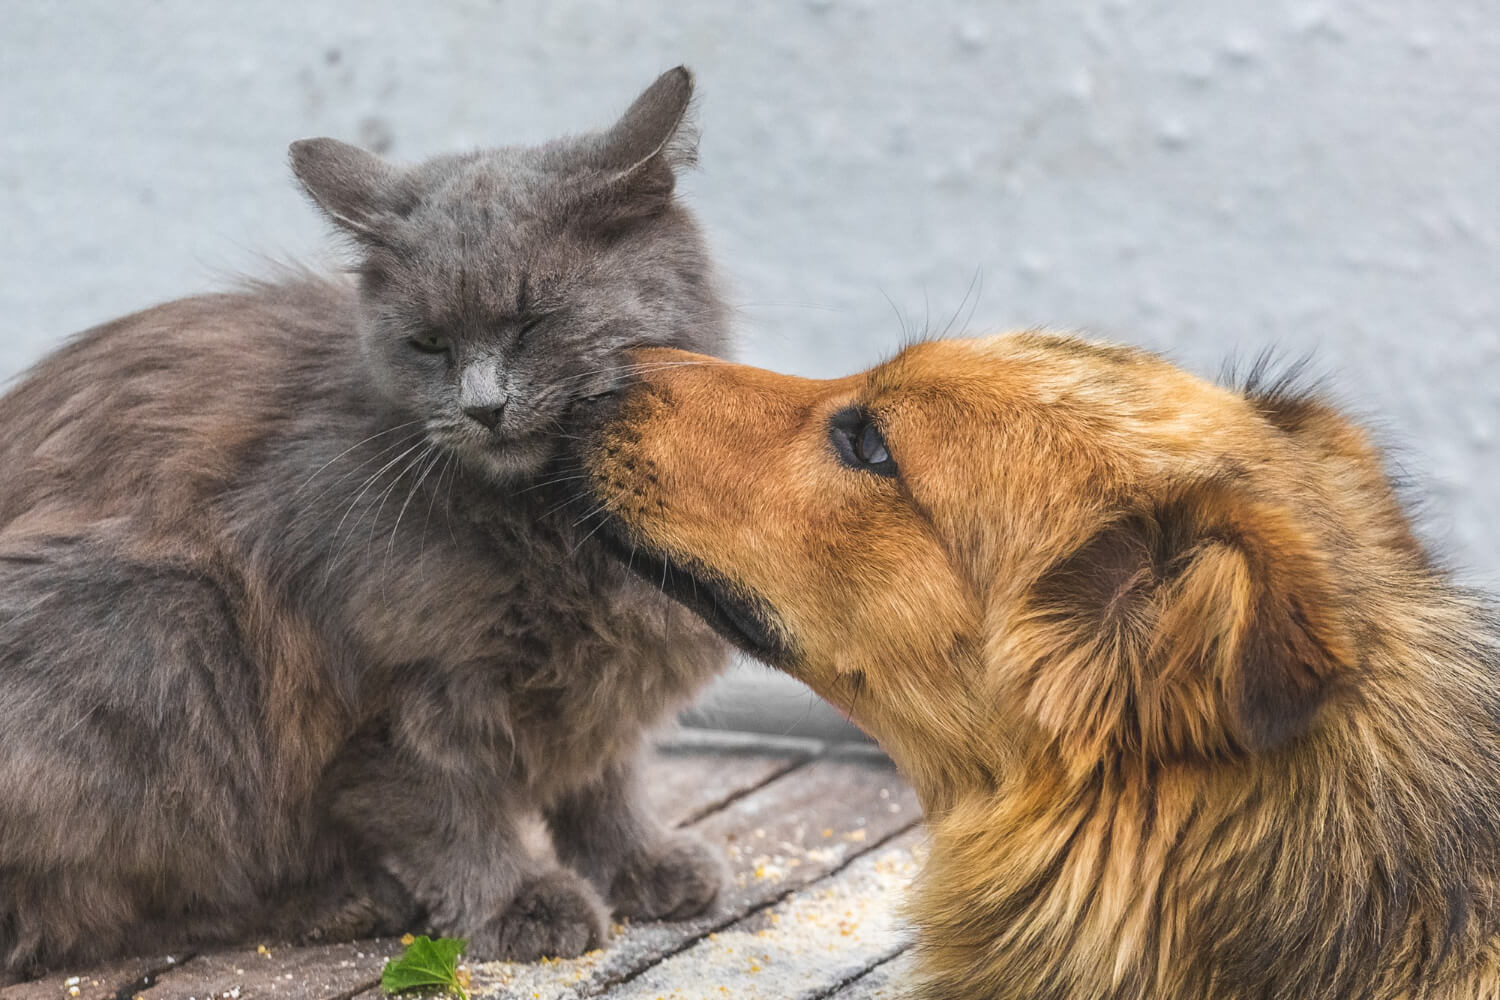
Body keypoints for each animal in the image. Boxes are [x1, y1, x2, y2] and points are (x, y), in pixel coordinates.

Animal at [0, 64, 732, 977]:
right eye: (428, 344)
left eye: (533, 323)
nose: (482, 407)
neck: (555, 520)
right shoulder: (396, 692)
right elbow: (450, 814)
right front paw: (519, 904)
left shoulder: (607, 677)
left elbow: (606, 781)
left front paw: (644, 864)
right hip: (162, 621)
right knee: (88, 911)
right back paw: (340, 900)